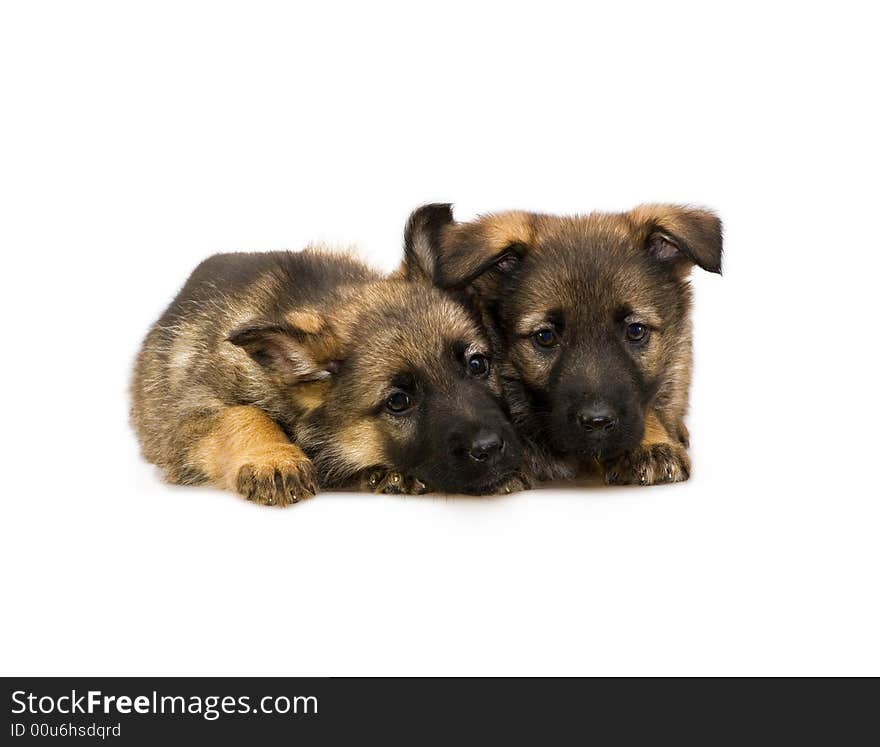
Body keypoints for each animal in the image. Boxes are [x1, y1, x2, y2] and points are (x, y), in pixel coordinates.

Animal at [130, 248, 524, 506]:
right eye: (398, 401)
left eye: (477, 365)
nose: (491, 447)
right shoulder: (187, 418)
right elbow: (241, 414)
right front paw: (273, 458)